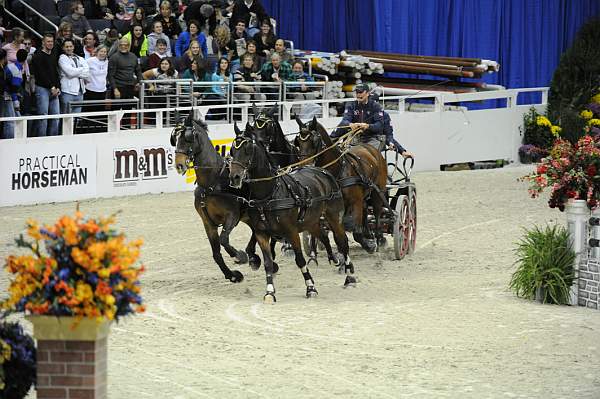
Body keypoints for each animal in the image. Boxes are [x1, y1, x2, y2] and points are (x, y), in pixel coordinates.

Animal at [171, 115, 278, 284]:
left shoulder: (232, 216)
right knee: (255, 232)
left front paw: (239, 256)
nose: (179, 165)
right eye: (175, 138)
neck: (212, 183)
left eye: (188, 138)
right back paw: (256, 257)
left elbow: (224, 240)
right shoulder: (208, 224)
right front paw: (232, 275)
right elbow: (216, 253)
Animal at [227, 126, 354, 302]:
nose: (235, 177)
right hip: (311, 221)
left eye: (247, 150)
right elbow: (268, 263)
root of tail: (322, 171)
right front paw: (269, 292)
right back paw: (333, 258)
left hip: (334, 218)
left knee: (342, 242)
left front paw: (310, 288)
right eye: (232, 150)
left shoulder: (291, 232)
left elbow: (300, 260)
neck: (269, 195)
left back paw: (349, 276)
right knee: (322, 235)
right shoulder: (261, 234)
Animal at [292, 116, 386, 253]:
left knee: (377, 212)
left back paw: (379, 239)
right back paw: (369, 234)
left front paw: (369, 245)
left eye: (315, 141)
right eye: (298, 142)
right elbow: (338, 233)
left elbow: (356, 233)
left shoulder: (355, 201)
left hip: (378, 191)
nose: (304, 165)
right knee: (365, 210)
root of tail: (370, 149)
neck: (337, 170)